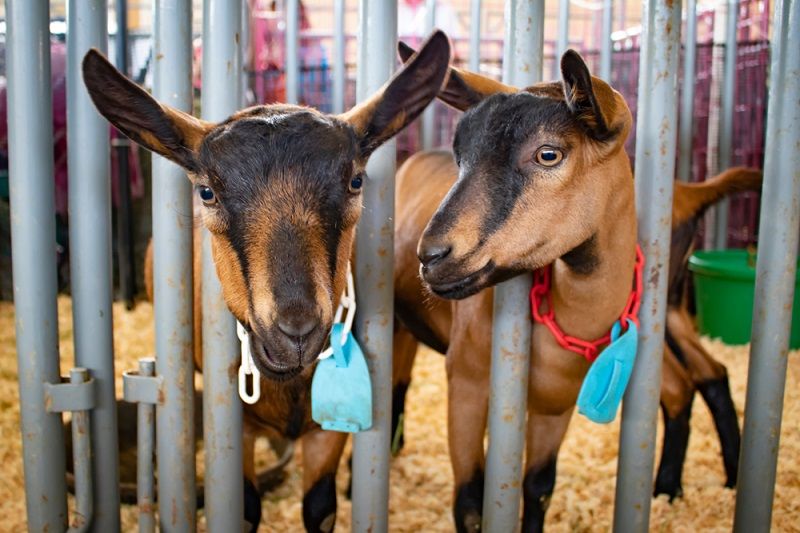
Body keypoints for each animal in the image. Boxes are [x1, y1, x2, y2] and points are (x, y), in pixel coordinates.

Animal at [85, 31, 454, 528]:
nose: (296, 329)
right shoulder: (234, 425)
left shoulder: (325, 426)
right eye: (207, 192)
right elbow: (245, 510)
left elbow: (320, 508)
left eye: (355, 181)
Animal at [394, 46, 764, 532]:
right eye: (461, 157)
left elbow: (538, 488)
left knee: (698, 378)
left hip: (668, 310)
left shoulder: (556, 403)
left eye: (548, 154)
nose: (432, 255)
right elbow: (471, 502)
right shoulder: (467, 381)